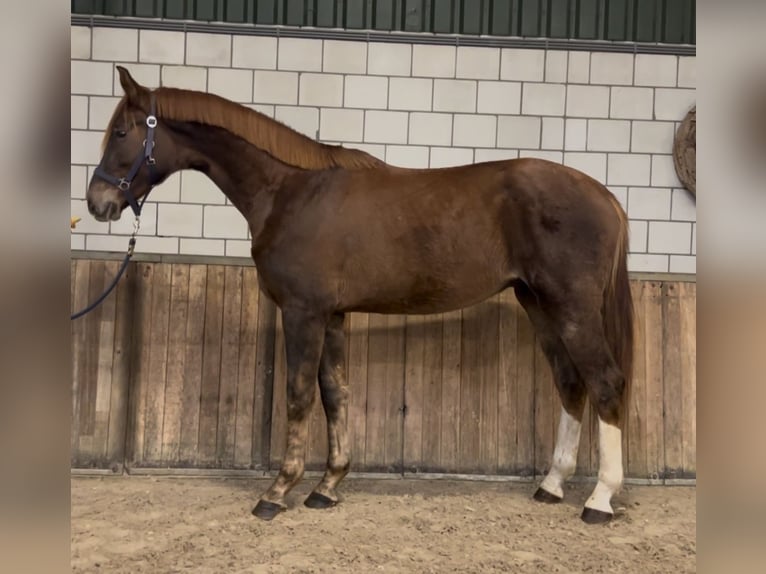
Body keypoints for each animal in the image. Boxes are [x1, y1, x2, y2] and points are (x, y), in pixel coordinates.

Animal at [85, 67, 636, 528]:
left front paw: (277, 492)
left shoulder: (303, 313)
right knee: (571, 383)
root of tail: (605, 196)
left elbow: (299, 395)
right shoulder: (333, 316)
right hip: (539, 304)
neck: (289, 190)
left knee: (605, 382)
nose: (98, 203)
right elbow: (335, 393)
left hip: (572, 308)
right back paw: (552, 485)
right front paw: (326, 487)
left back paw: (599, 500)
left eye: (121, 132)